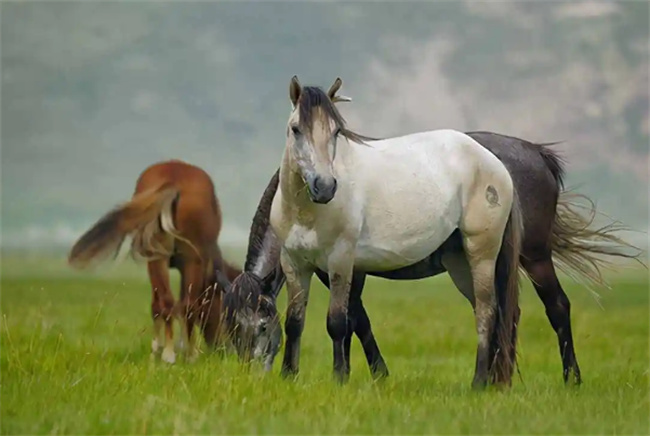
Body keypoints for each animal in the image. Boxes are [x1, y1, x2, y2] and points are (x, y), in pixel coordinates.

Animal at [67, 160, 240, 364]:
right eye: (226, 309)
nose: (225, 349)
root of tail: (173, 181)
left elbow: (161, 305)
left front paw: (159, 350)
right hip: (187, 259)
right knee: (185, 304)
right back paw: (185, 355)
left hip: (161, 258)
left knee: (169, 303)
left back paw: (169, 354)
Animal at [268, 76, 520, 388]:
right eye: (296, 129)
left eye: (336, 131)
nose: (324, 187)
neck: (307, 214)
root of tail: (495, 164)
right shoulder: (294, 263)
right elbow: (294, 321)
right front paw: (288, 376)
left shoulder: (340, 261)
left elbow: (337, 322)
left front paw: (339, 378)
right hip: (460, 263)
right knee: (486, 312)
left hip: (481, 254)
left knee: (486, 313)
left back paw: (478, 383)